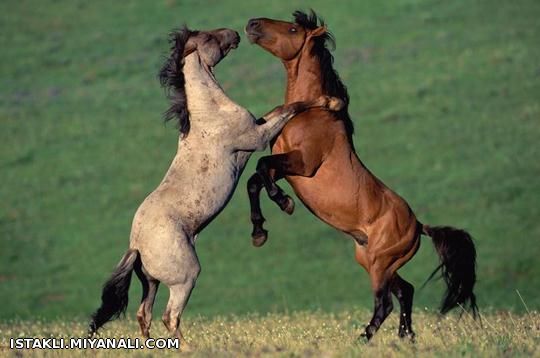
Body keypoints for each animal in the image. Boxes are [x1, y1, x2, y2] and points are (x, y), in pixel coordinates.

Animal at [88, 24, 342, 346]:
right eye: (208, 37)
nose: (235, 32)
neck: (210, 113)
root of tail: (137, 245)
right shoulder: (256, 138)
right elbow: (292, 106)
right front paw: (331, 101)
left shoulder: (258, 127)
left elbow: (279, 108)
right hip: (185, 277)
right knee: (169, 316)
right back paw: (186, 348)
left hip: (151, 281)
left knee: (143, 314)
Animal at [245, 10, 476, 342]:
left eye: (292, 29)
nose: (252, 24)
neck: (312, 113)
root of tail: (419, 226)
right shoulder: (285, 167)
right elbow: (255, 179)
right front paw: (259, 231)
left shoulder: (302, 164)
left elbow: (262, 167)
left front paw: (284, 203)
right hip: (372, 260)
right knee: (405, 291)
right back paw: (405, 337)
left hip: (380, 263)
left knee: (385, 303)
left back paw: (363, 339)